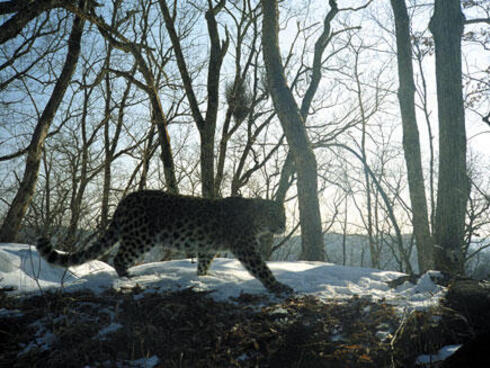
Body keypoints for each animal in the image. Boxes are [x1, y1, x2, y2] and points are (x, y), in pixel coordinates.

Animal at [38, 191, 292, 294]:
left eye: (285, 215)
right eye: (274, 214)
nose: (284, 226)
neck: (256, 219)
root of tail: (126, 199)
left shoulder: (208, 249)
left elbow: (203, 265)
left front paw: (202, 278)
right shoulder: (245, 247)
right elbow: (262, 268)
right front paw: (279, 286)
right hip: (142, 237)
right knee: (118, 257)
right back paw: (128, 276)